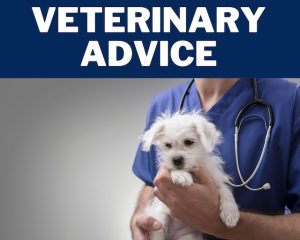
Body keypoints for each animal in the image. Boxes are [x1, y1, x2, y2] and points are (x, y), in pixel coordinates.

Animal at [142, 111, 240, 239]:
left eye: (189, 142)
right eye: (168, 145)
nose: (176, 160)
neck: (191, 171)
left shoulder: (216, 179)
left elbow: (225, 191)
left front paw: (230, 213)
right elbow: (173, 169)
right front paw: (181, 175)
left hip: (188, 236)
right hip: (160, 220)